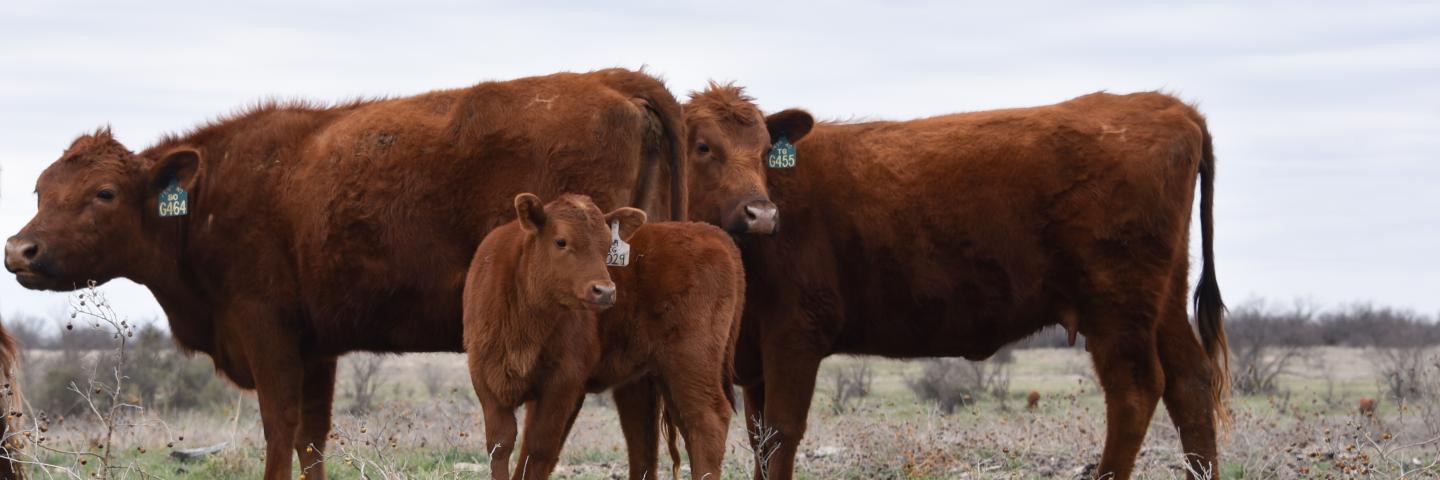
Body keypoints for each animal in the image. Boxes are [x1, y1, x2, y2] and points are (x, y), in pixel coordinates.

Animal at [466, 193, 743, 475]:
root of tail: (710, 233)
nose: (606, 291)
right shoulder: (484, 377)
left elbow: (538, 448)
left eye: (607, 246)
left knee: (707, 422)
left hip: (693, 362)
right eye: (561, 241)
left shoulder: (563, 381)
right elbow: (501, 443)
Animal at [682, 86, 1226, 478]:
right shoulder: (755, 353)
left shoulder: (795, 335)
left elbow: (780, 436)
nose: (761, 213)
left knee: (1135, 392)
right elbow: (759, 439)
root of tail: (1168, 107)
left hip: (1118, 306)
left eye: (762, 152)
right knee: (1190, 384)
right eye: (703, 146)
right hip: (1162, 301)